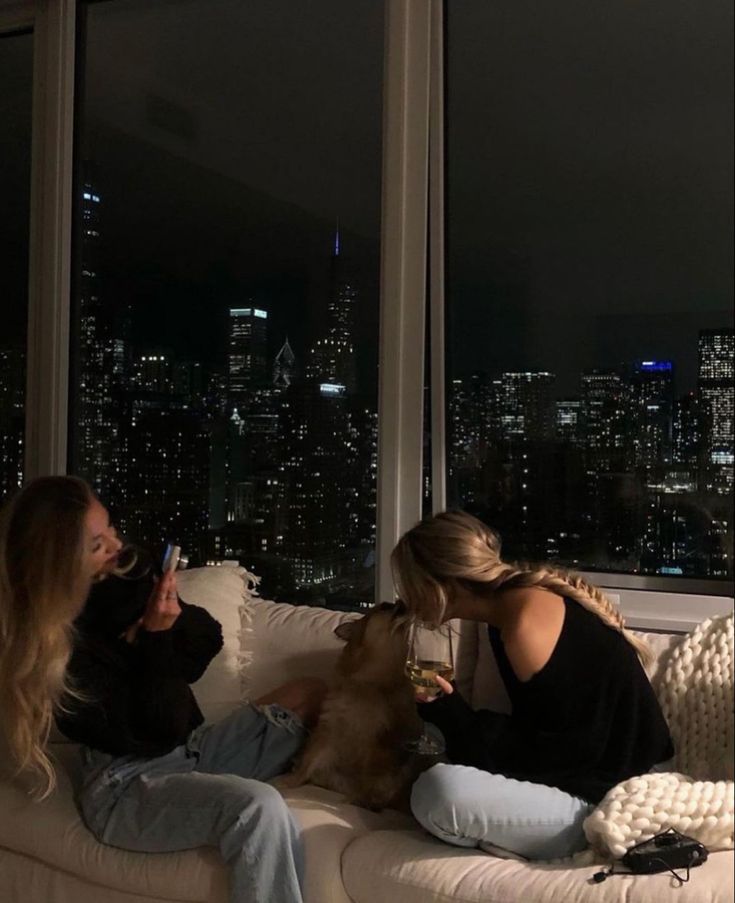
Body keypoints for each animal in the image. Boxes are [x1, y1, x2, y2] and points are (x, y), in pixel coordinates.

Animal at [278, 604, 434, 808]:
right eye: (385, 607)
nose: (405, 603)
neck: (374, 682)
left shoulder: (379, 743)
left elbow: (369, 780)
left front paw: (357, 801)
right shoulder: (330, 730)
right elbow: (309, 761)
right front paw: (291, 781)